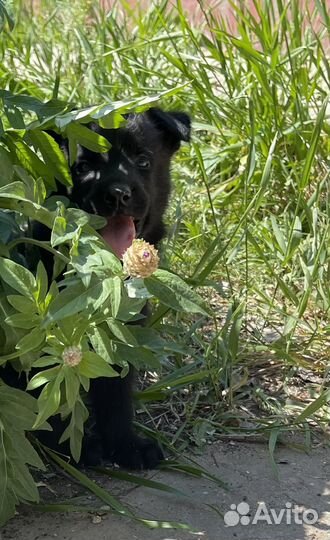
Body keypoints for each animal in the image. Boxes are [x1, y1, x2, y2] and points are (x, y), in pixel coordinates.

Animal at [47, 106, 191, 468]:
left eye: (142, 160)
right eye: (82, 168)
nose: (117, 194)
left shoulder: (119, 335)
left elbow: (117, 395)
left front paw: (126, 446)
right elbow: (51, 395)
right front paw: (73, 448)